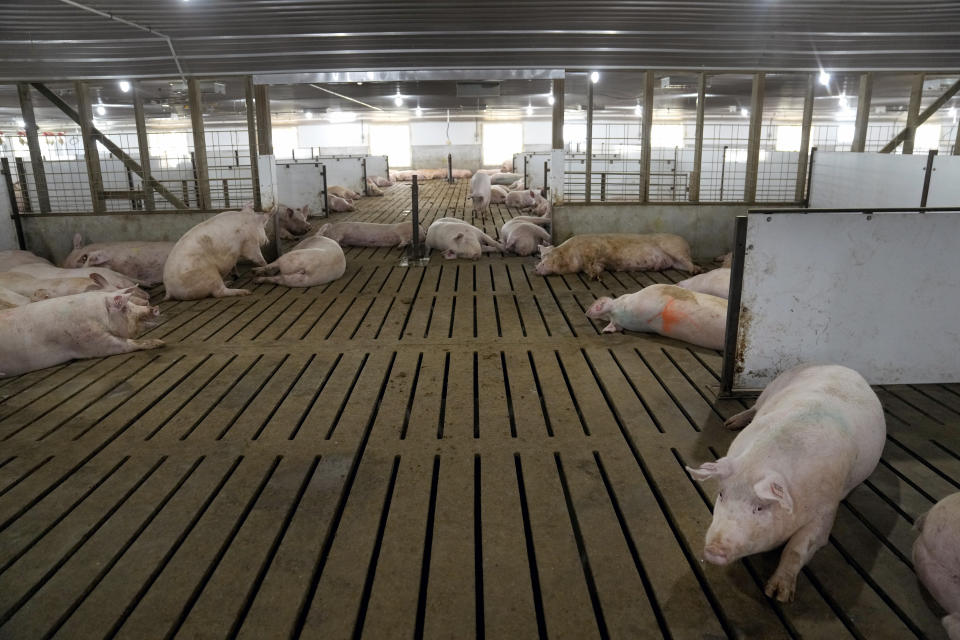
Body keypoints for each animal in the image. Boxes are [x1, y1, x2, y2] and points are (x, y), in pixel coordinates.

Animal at [0, 288, 164, 378]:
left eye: (131, 304)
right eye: (124, 308)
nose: (155, 308)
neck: (99, 315)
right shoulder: (90, 340)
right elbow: (126, 344)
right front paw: (160, 342)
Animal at [532, 232, 696, 278]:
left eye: (546, 257)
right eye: (541, 257)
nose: (535, 268)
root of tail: (686, 243)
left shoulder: (591, 249)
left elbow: (590, 262)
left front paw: (593, 276)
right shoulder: (600, 263)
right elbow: (597, 267)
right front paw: (595, 275)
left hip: (675, 249)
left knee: (690, 262)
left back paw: (696, 271)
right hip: (675, 263)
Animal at [684, 364, 884, 600]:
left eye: (760, 507)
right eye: (721, 494)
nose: (714, 550)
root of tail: (840, 366)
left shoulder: (827, 510)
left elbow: (797, 548)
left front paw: (778, 594)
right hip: (770, 388)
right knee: (754, 405)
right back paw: (730, 423)